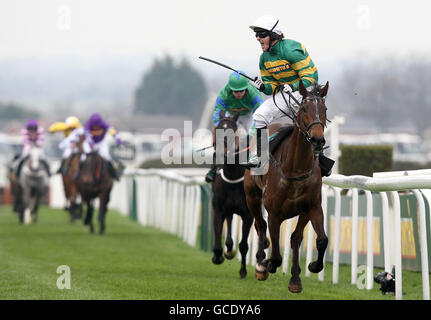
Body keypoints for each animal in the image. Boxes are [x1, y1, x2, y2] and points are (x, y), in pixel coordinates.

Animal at [211, 110, 255, 278]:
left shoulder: (248, 215)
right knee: (229, 223)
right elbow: (218, 238)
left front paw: (243, 271)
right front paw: (218, 256)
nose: (218, 155)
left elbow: (244, 245)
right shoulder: (218, 209)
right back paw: (229, 249)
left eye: (231, 132)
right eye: (216, 130)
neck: (233, 177)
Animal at [246, 80, 330, 292]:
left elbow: (318, 240)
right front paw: (265, 265)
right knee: (260, 225)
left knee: (294, 238)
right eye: (304, 108)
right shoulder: (274, 213)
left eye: (324, 109)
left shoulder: (312, 206)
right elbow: (275, 255)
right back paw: (261, 263)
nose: (318, 140)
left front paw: (309, 269)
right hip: (251, 196)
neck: (296, 168)